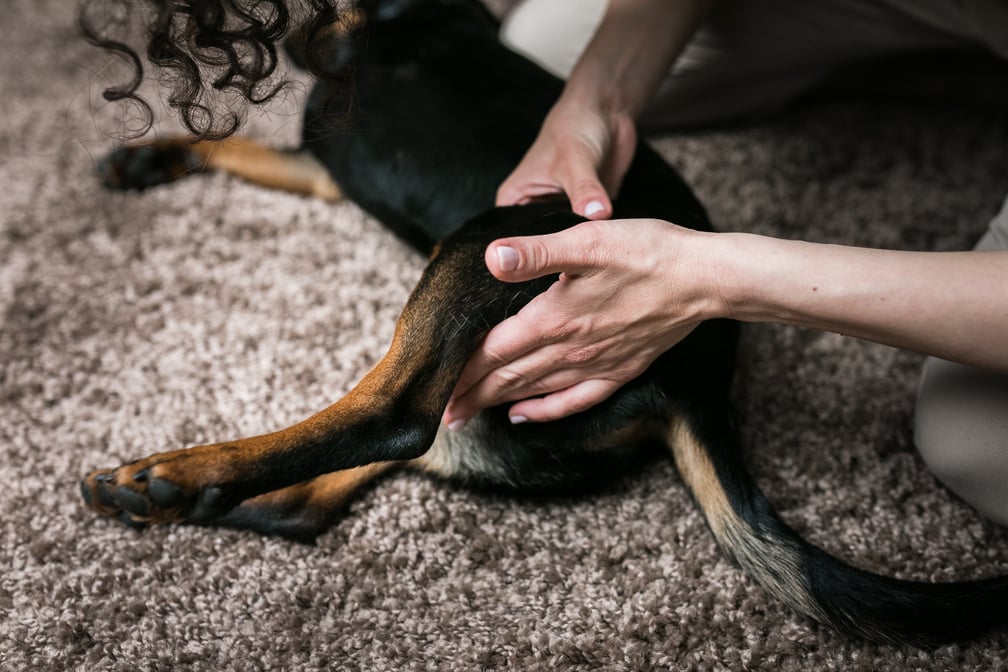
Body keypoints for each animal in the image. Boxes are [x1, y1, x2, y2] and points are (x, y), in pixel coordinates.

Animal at [78, 0, 1008, 644]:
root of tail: (700, 384)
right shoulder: (323, 163)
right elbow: (240, 143)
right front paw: (152, 156)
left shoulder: (337, 137)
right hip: (500, 417)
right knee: (318, 501)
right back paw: (184, 501)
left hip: (488, 243)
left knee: (393, 416)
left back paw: (180, 476)